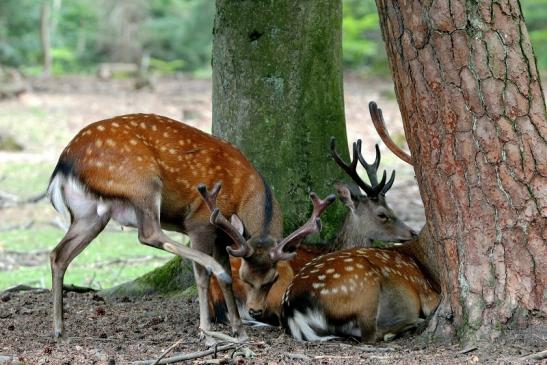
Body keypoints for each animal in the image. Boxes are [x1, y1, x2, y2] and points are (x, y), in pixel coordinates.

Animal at [45, 112, 332, 340]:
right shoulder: (201, 222)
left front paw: (238, 329)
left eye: (272, 279)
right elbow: (203, 277)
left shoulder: (224, 239)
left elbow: (227, 282)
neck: (244, 194)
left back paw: (59, 329)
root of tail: (62, 165)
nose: (256, 310)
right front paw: (206, 330)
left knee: (59, 254)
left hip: (90, 214)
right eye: (246, 278)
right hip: (143, 182)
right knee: (149, 234)